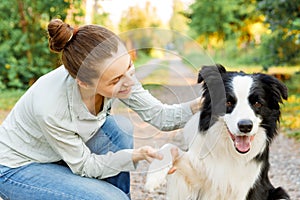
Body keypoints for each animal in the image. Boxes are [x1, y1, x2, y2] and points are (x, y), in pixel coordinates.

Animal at [145, 65, 290, 199]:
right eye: (228, 102)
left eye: (257, 103)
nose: (245, 126)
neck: (230, 152)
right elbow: (169, 147)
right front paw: (154, 176)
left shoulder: (248, 186)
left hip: (280, 194)